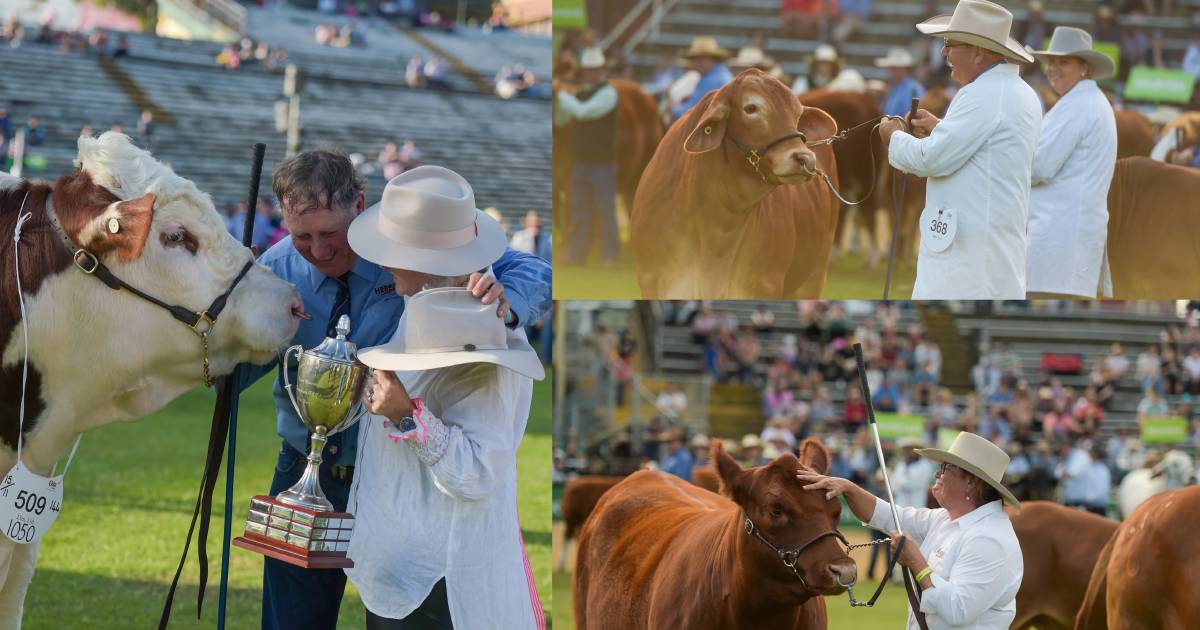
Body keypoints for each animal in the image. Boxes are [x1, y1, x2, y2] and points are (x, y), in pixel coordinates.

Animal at [633, 67, 840, 298]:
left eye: (797, 113)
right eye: (750, 108)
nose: (805, 158)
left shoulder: (764, 285)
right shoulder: (655, 281)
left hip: (814, 276)